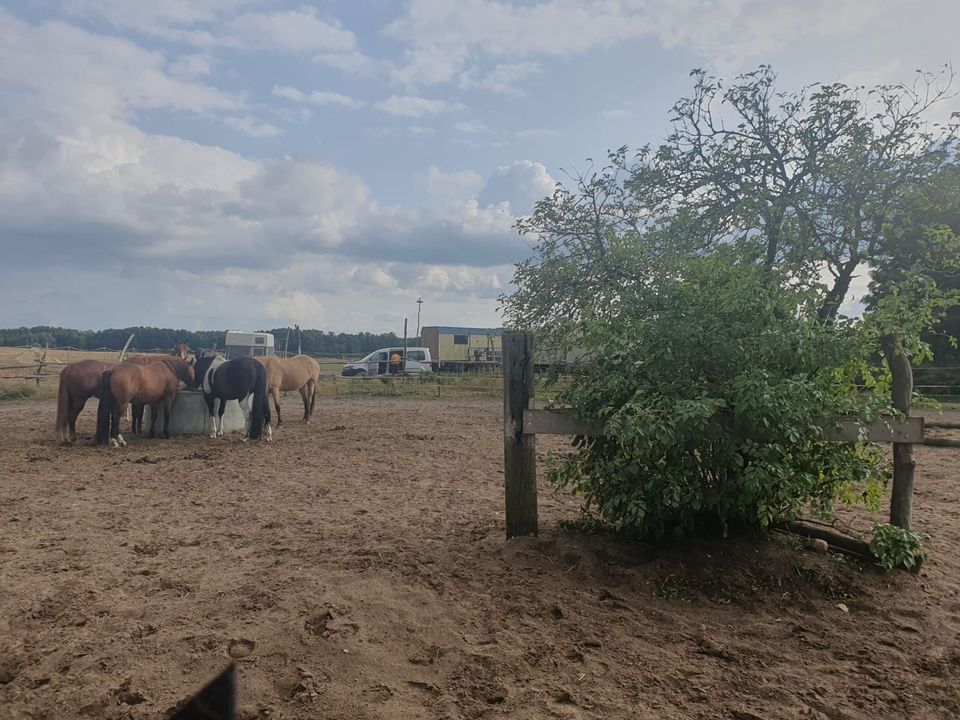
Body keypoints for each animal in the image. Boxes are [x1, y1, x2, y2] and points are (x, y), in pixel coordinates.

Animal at [54, 340, 189, 442]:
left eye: (186, 349)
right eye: (177, 349)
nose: (183, 358)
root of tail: (70, 367)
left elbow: (137, 415)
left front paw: (136, 431)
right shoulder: (138, 402)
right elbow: (138, 415)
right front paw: (137, 431)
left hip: (72, 399)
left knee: (65, 416)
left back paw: (64, 438)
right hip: (79, 400)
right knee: (71, 416)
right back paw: (72, 437)